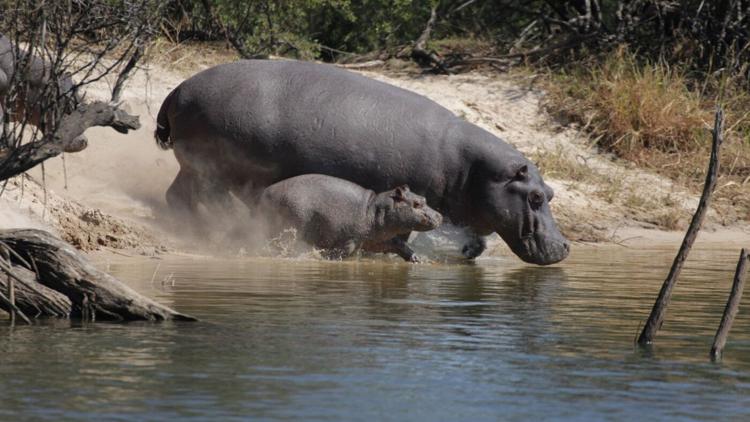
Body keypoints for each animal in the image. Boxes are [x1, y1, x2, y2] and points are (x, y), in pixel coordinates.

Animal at [262, 174, 444, 260]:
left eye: (423, 199)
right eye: (416, 204)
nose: (440, 216)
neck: (375, 210)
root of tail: (265, 193)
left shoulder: (378, 240)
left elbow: (400, 245)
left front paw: (416, 259)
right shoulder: (350, 240)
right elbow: (342, 252)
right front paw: (326, 258)